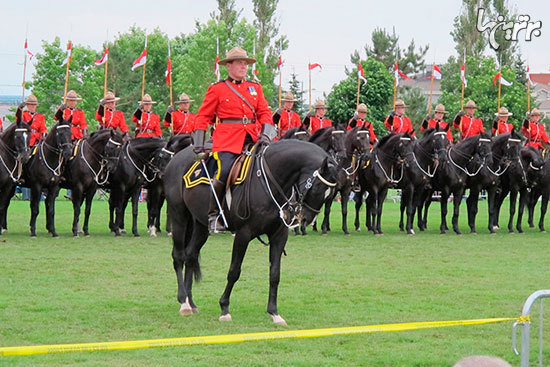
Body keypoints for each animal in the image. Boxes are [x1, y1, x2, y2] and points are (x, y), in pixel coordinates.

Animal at [164, 141, 338, 324]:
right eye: (317, 186)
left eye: (331, 193)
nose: (307, 219)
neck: (270, 181)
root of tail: (177, 157)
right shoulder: (243, 234)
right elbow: (234, 271)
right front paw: (224, 308)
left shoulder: (279, 235)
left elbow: (275, 274)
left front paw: (274, 312)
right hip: (179, 216)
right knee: (179, 256)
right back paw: (183, 302)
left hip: (200, 224)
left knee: (191, 255)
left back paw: (190, 302)